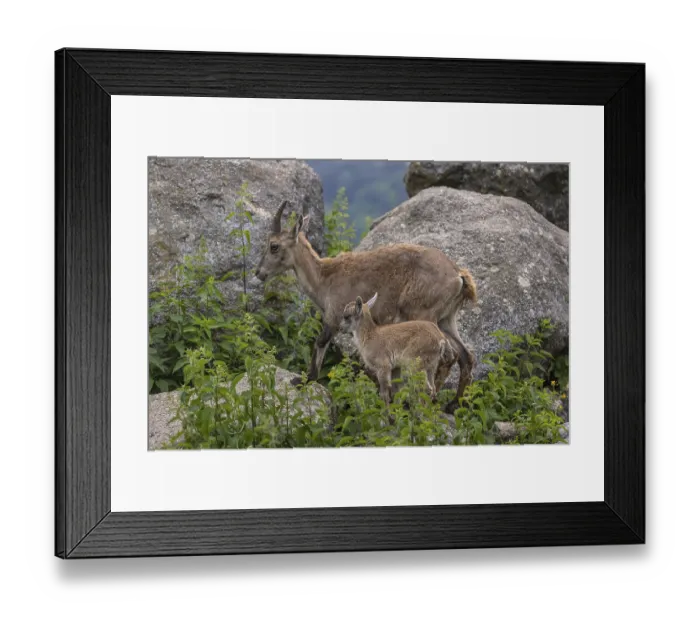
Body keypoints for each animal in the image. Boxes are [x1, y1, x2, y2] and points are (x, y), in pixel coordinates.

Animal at [254, 201, 477, 409]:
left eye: (274, 245)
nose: (259, 272)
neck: (324, 279)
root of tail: (458, 276)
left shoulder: (334, 317)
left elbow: (320, 342)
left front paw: (305, 379)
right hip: (447, 319)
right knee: (465, 356)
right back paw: (453, 404)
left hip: (424, 314)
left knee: (448, 357)